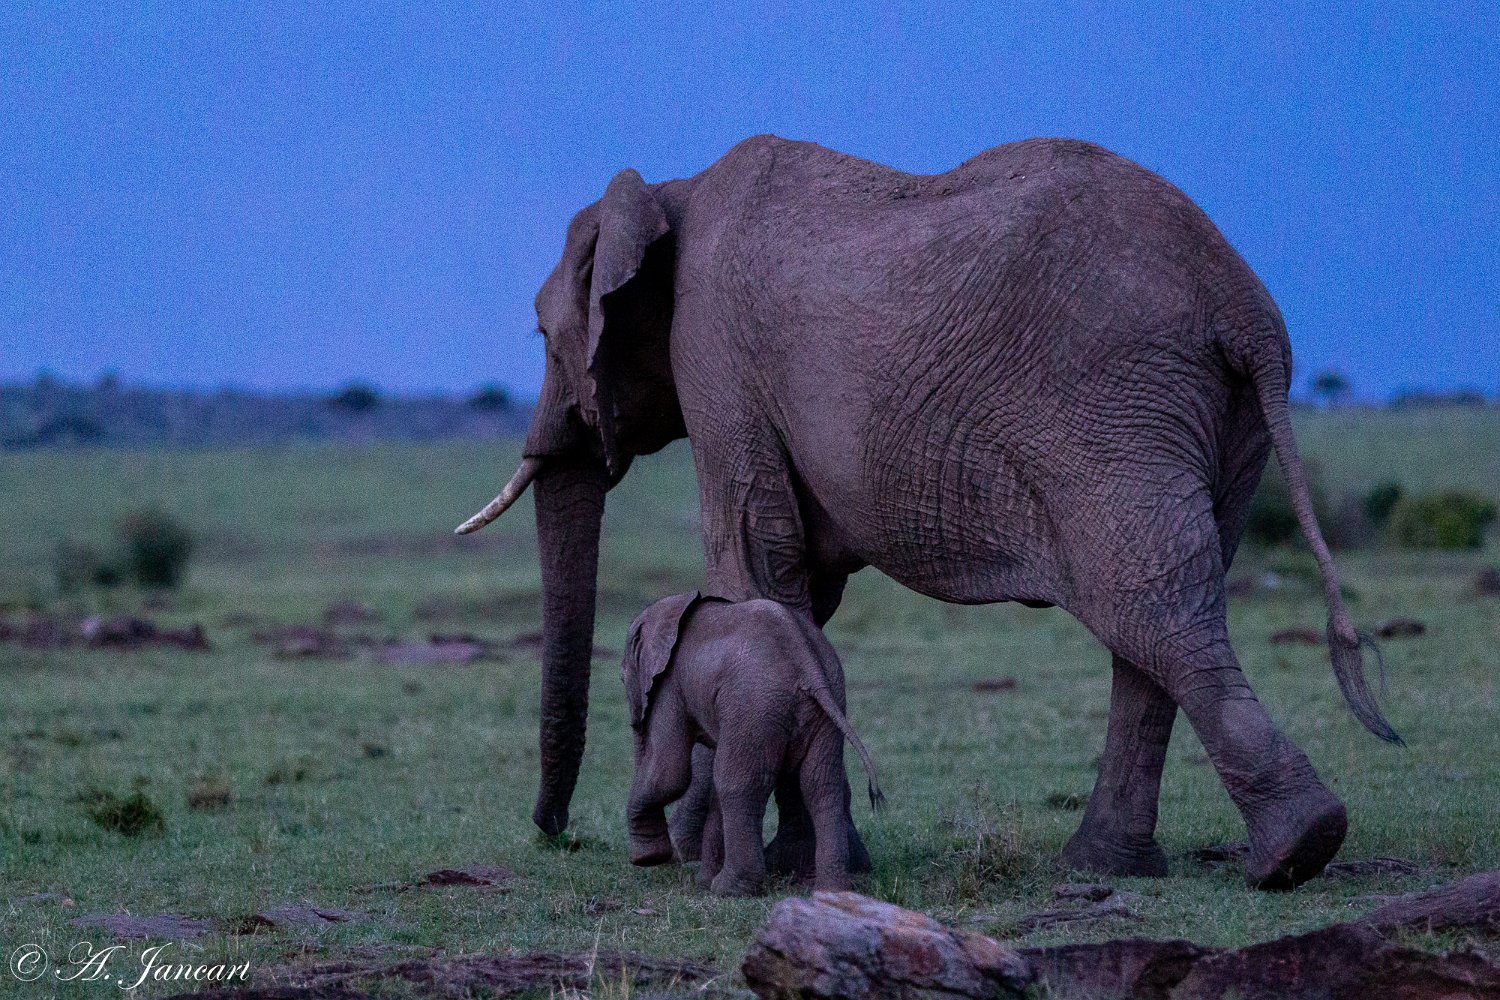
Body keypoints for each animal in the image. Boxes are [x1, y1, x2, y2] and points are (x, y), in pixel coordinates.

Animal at [621, 592, 883, 896]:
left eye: (622, 679)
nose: (637, 721)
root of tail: (807, 663)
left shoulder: (670, 687)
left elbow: (669, 773)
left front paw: (647, 859)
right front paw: (702, 881)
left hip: (754, 704)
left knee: (739, 783)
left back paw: (729, 889)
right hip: (826, 703)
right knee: (821, 785)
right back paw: (831, 890)